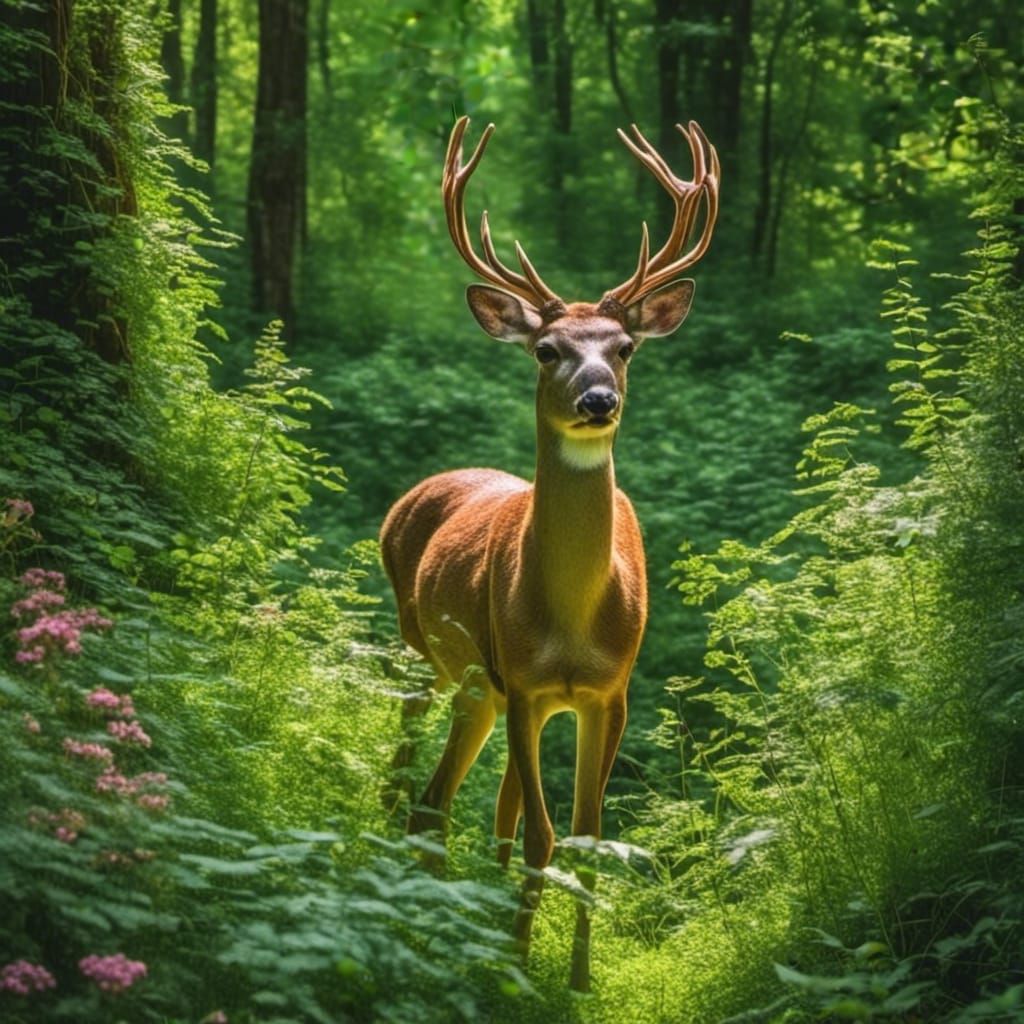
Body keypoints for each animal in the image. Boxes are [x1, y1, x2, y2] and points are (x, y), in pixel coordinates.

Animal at [380, 114, 719, 991]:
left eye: (625, 347)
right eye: (547, 350)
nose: (597, 400)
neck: (570, 620)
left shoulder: (612, 690)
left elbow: (584, 837)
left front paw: (572, 974)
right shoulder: (527, 683)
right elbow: (542, 836)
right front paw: (517, 965)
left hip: (482, 689)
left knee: (461, 801)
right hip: (429, 656)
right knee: (419, 791)